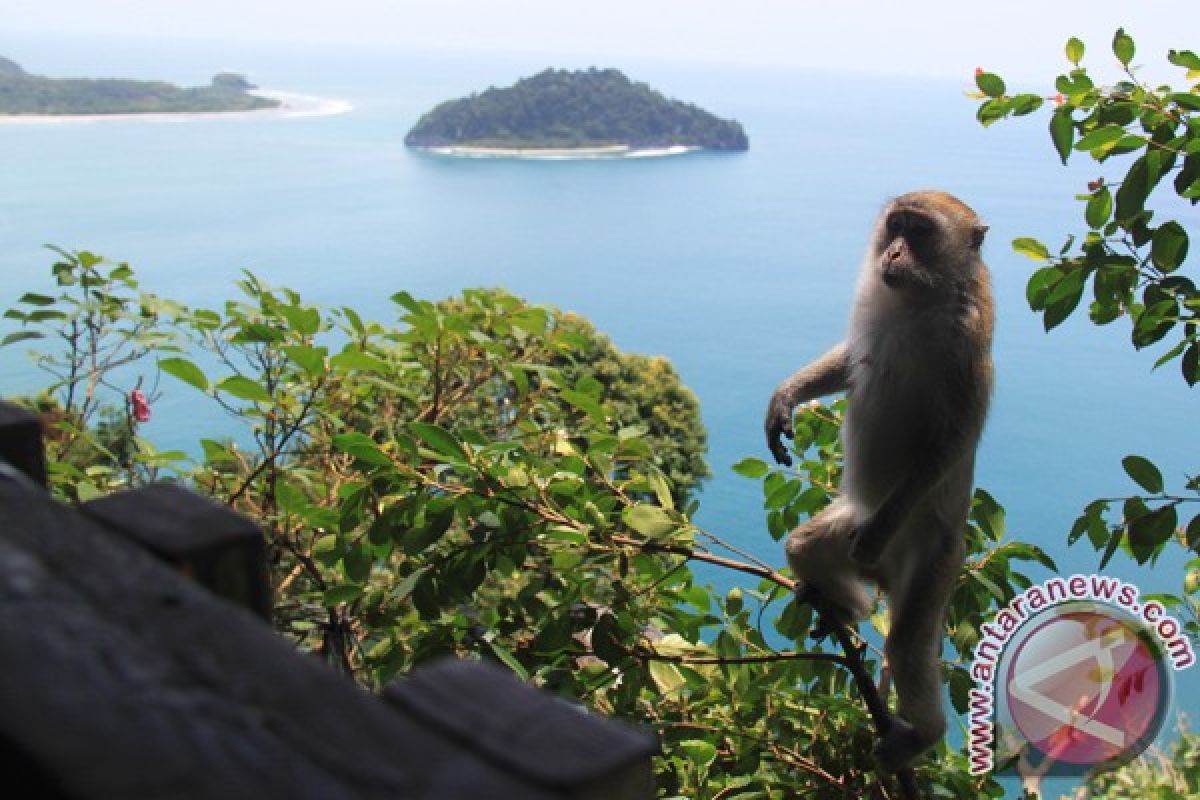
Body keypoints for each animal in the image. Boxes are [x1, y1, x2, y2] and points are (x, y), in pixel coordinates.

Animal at [768, 190, 993, 772]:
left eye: (920, 232)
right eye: (897, 226)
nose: (892, 252)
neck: (920, 298)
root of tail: (886, 577)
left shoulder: (966, 340)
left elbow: (953, 439)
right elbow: (853, 359)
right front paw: (784, 398)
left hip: (933, 559)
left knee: (908, 647)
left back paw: (922, 735)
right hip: (852, 525)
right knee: (806, 545)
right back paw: (847, 607)